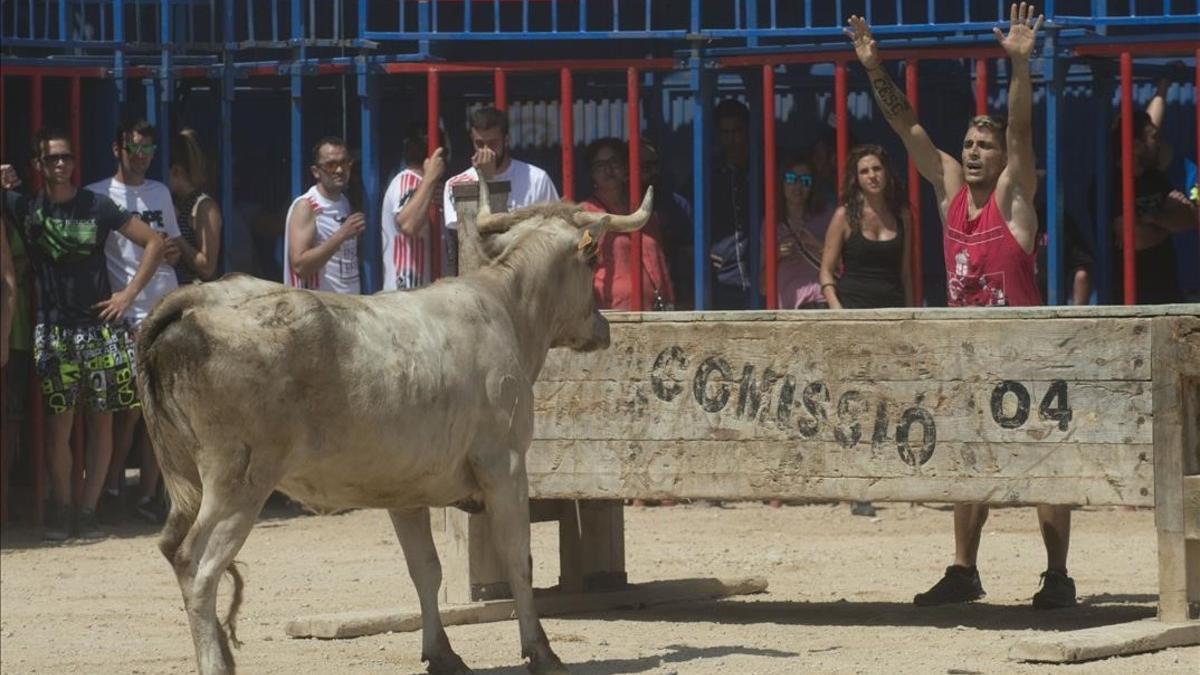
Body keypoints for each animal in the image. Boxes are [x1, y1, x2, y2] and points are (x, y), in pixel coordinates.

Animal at [138, 181, 657, 667]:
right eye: (593, 262)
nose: (603, 327)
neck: (505, 309)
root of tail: (197, 299)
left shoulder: (405, 490)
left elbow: (425, 569)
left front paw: (442, 653)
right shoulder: (505, 466)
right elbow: (518, 559)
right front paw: (541, 650)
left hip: (189, 483)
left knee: (172, 551)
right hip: (239, 483)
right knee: (198, 565)